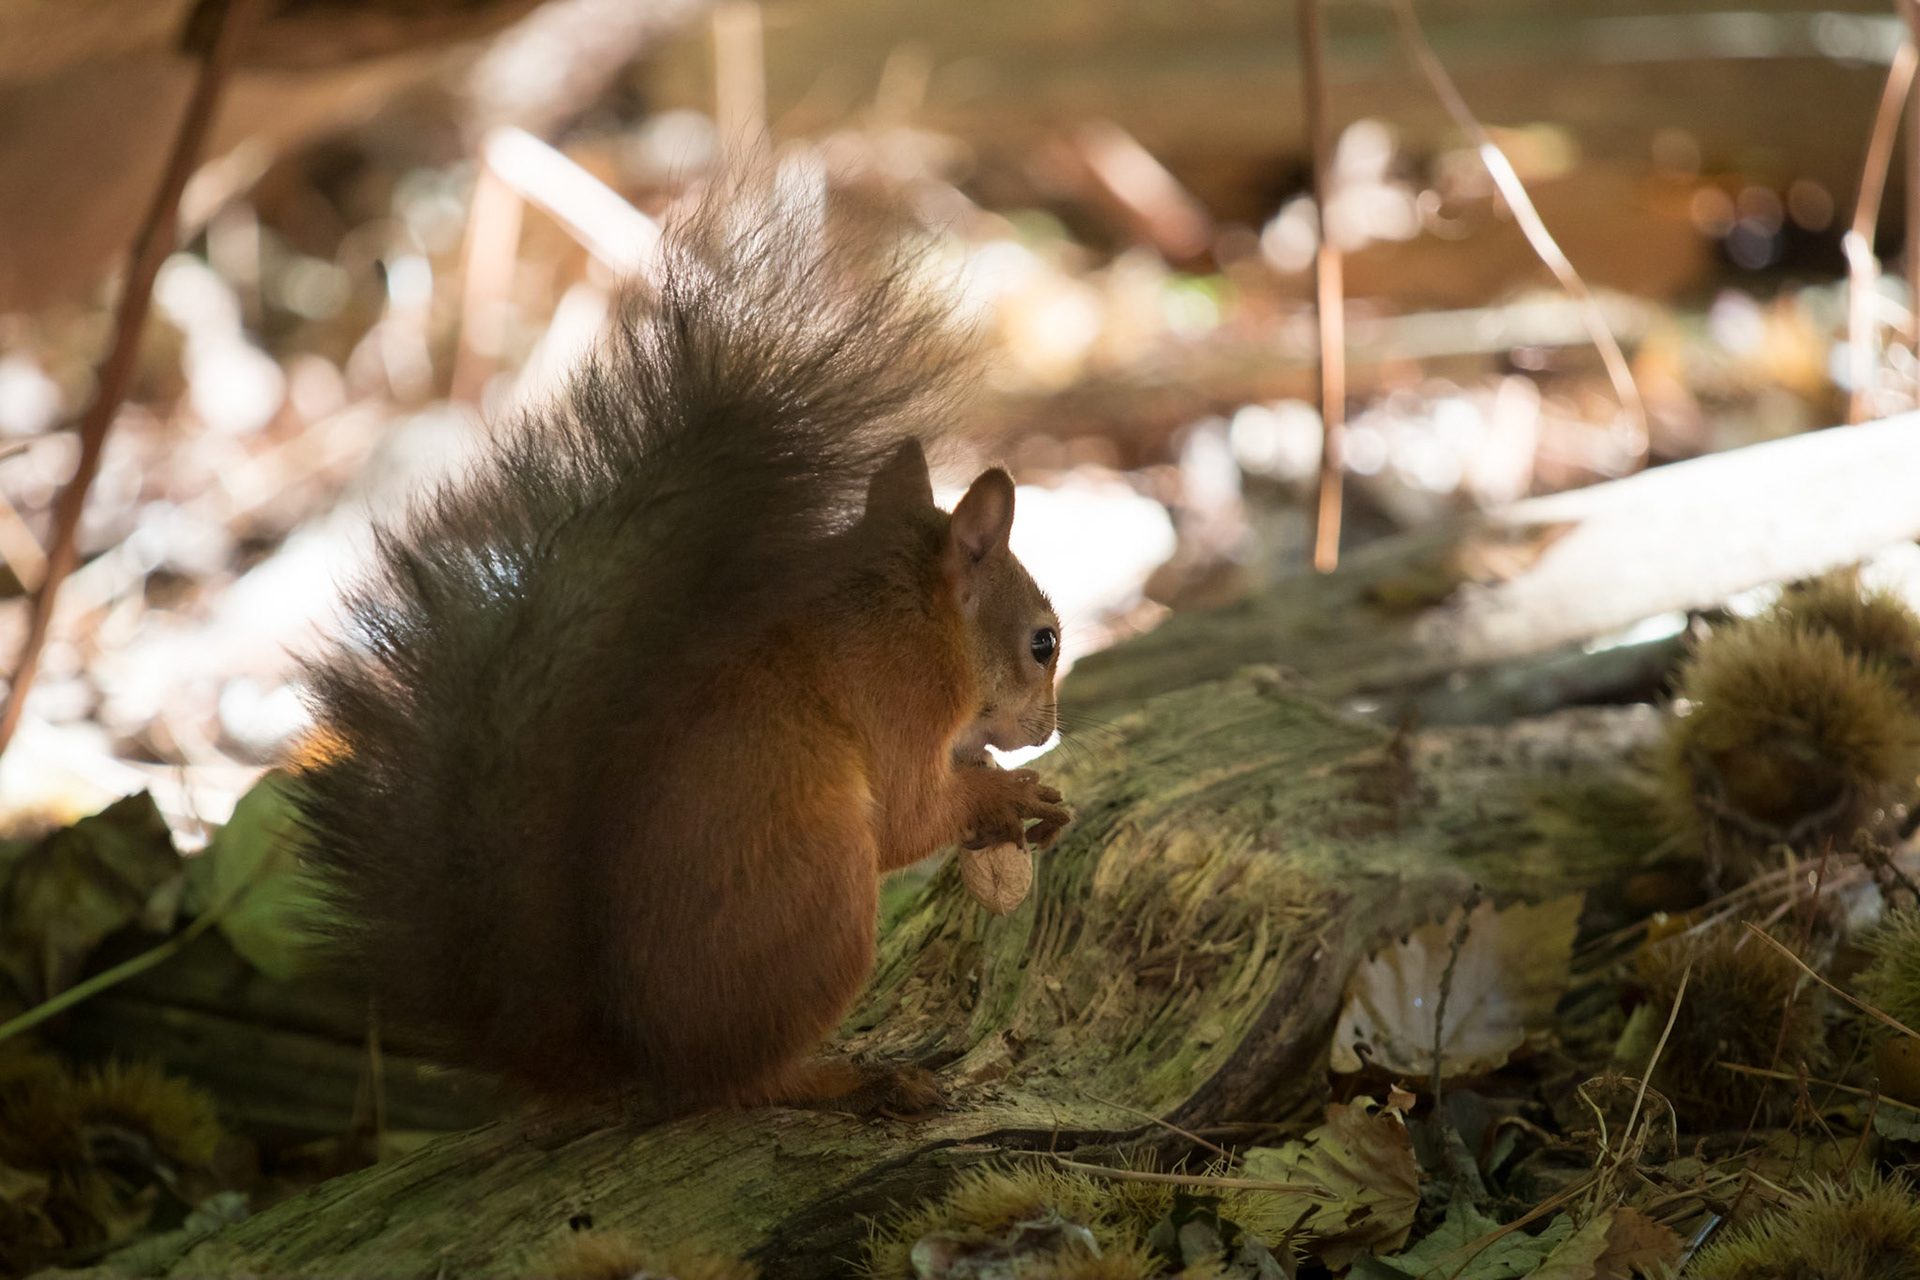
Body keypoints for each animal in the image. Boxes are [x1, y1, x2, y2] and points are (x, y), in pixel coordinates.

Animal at [295, 198, 1072, 1115]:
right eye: (1043, 642)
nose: (1047, 728)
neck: (918, 614)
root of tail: (640, 1058)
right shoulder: (901, 702)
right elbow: (914, 816)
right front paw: (1010, 793)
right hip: (821, 899)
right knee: (744, 1081)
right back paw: (845, 1076)